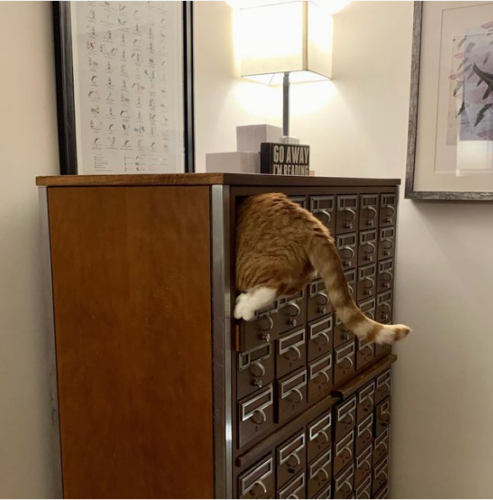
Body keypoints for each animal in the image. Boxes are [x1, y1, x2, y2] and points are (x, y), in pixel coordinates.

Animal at [234, 191, 408, 344]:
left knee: (273, 285)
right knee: (281, 289)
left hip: (247, 267)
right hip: (301, 276)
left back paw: (243, 308)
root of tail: (312, 225)